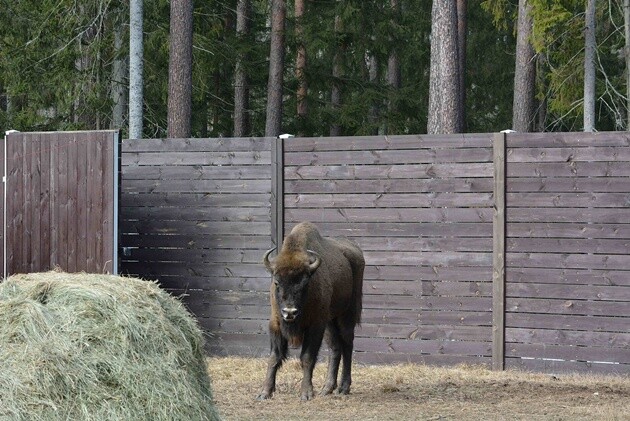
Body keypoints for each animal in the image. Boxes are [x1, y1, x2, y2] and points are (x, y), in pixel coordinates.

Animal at [256, 220, 366, 400]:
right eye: (277, 282)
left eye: (305, 283)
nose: (290, 312)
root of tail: (356, 252)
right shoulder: (276, 324)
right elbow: (274, 357)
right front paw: (264, 392)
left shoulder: (315, 326)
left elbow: (307, 357)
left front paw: (306, 393)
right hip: (330, 321)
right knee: (335, 348)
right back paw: (327, 388)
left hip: (346, 315)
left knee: (347, 344)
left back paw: (343, 388)